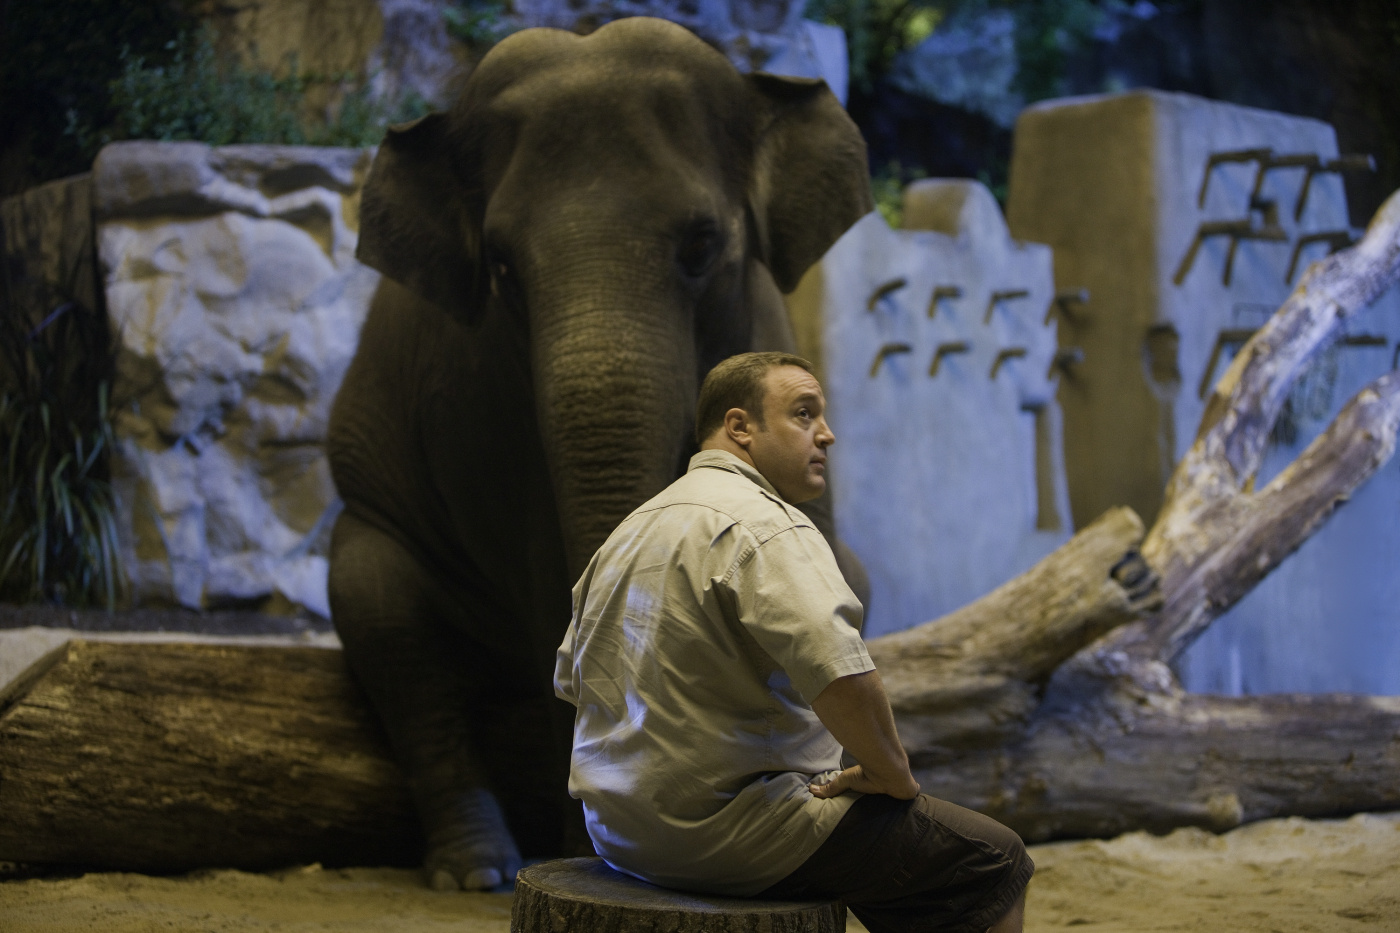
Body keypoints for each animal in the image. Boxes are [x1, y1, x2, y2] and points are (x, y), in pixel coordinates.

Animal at [329, 14, 873, 885]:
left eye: (701, 245)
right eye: (502, 266)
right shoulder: (479, 400)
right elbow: (535, 564)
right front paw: (580, 848)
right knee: (383, 614)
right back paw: (477, 868)